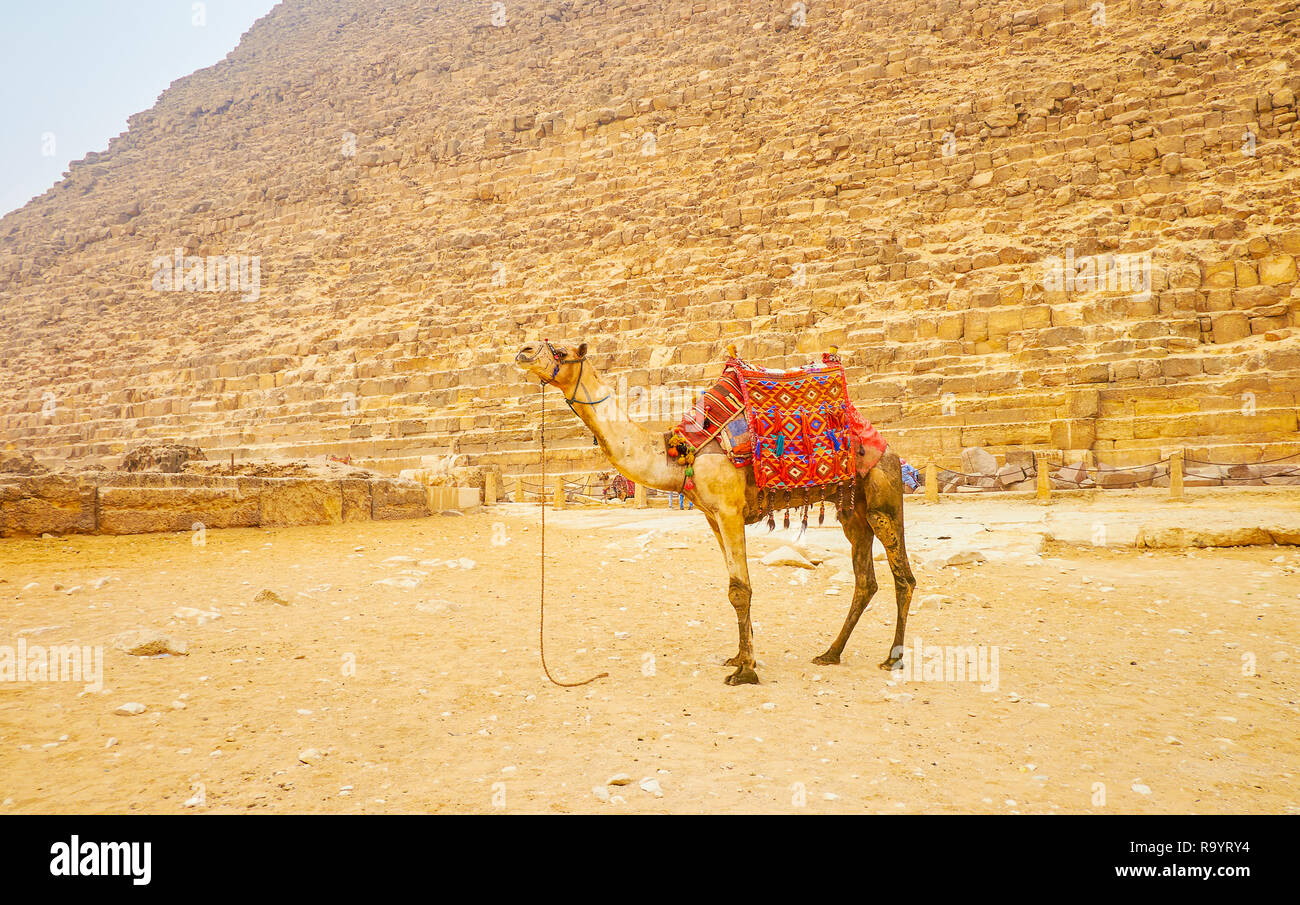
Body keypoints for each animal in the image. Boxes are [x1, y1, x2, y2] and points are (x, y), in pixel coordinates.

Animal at [515, 339, 915, 686]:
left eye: (561, 351)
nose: (523, 351)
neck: (679, 455)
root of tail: (888, 446)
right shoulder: (712, 518)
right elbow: (735, 587)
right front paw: (741, 657)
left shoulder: (729, 510)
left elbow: (740, 589)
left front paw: (746, 672)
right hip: (852, 511)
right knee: (866, 580)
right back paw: (830, 653)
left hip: (881, 497)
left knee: (903, 577)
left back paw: (892, 658)